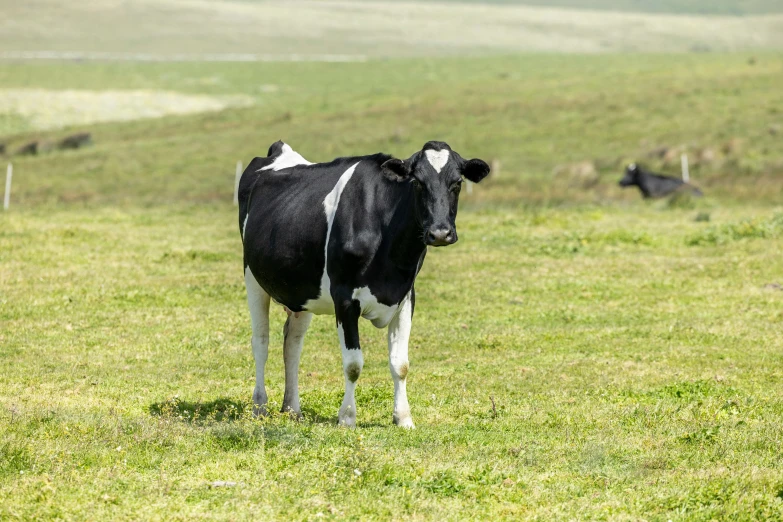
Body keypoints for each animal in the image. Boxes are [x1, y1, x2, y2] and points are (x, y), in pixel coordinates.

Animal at [237, 139, 490, 426]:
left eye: (457, 182)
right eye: (417, 182)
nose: (439, 233)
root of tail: (279, 150)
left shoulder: (405, 297)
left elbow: (400, 364)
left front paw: (404, 418)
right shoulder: (345, 298)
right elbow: (353, 364)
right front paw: (347, 417)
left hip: (302, 291)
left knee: (292, 343)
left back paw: (292, 409)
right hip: (253, 278)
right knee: (261, 342)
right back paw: (259, 406)